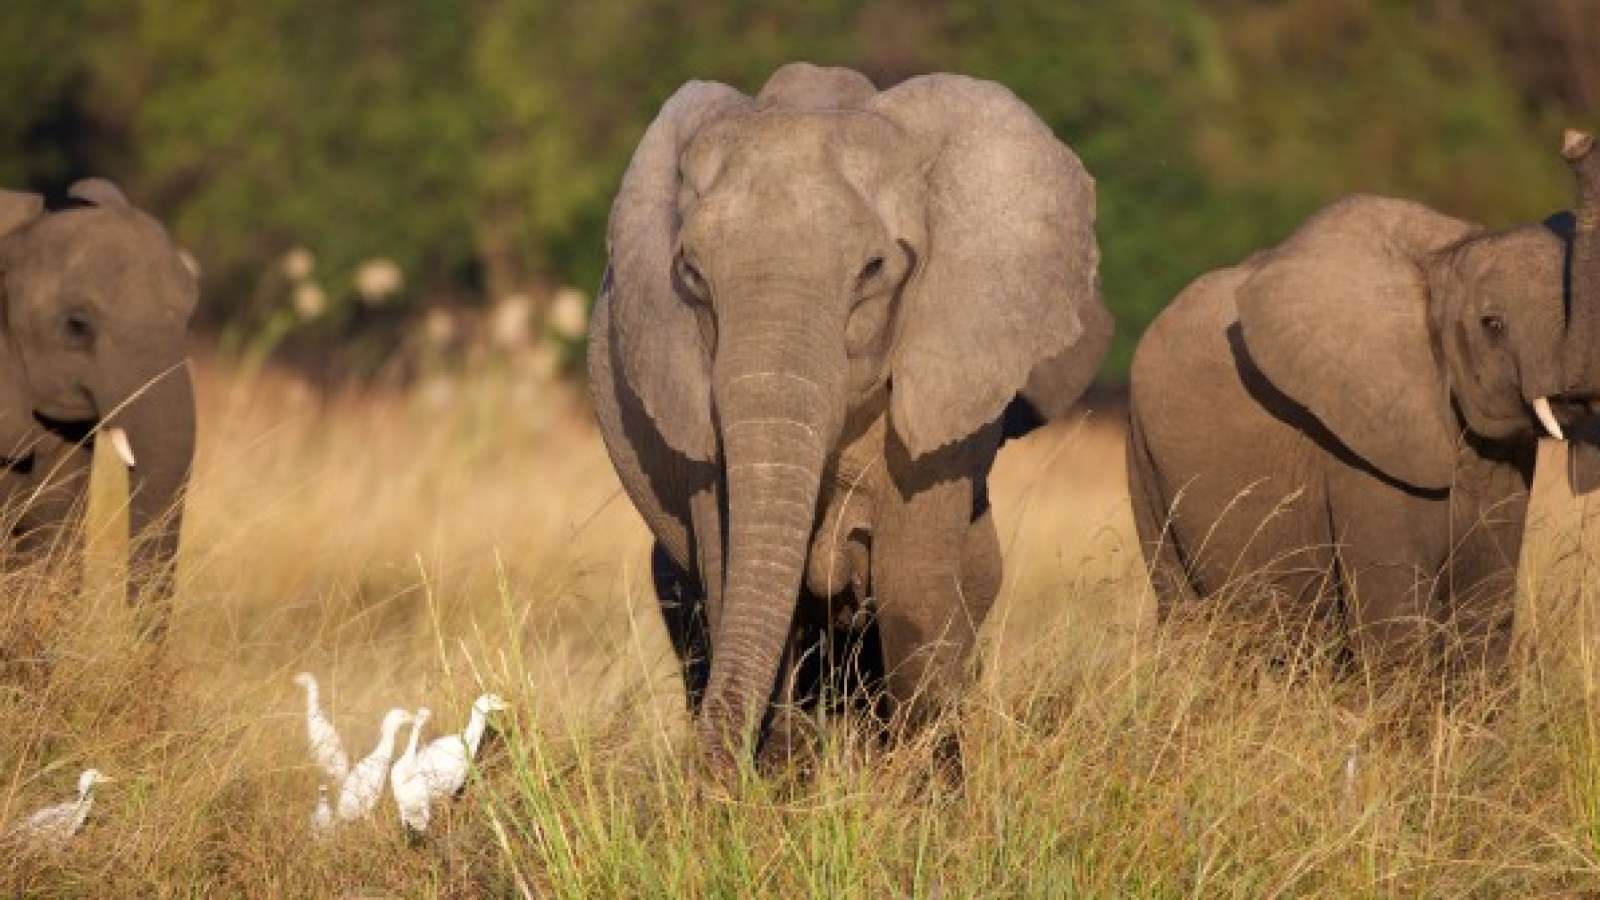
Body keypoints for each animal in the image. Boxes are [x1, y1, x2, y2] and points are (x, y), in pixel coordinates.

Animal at [1126, 131, 1600, 672]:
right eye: (1492, 325)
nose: (1575, 142)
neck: (1442, 263)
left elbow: (1486, 615)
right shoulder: (1360, 458)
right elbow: (1394, 624)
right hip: (1145, 461)